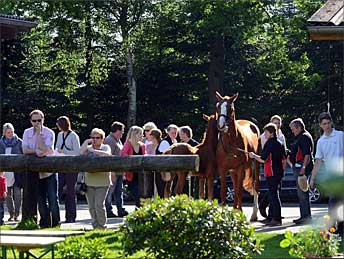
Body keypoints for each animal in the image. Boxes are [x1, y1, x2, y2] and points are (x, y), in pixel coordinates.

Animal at [216, 92, 260, 222]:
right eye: (218, 107)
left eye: (230, 108)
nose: (221, 125)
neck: (231, 142)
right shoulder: (223, 169)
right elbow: (225, 190)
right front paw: (224, 213)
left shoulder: (240, 168)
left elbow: (239, 191)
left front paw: (240, 211)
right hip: (233, 171)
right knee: (235, 186)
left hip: (255, 164)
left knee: (256, 186)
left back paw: (254, 214)